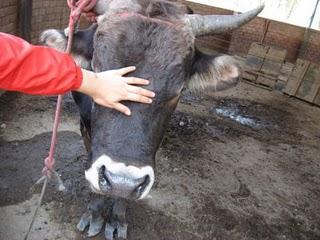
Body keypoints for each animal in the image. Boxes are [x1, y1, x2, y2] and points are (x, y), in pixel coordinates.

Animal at [40, 0, 264, 238]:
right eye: (97, 71)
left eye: (178, 90)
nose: (123, 181)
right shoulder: (85, 128)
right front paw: (94, 214)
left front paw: (117, 218)